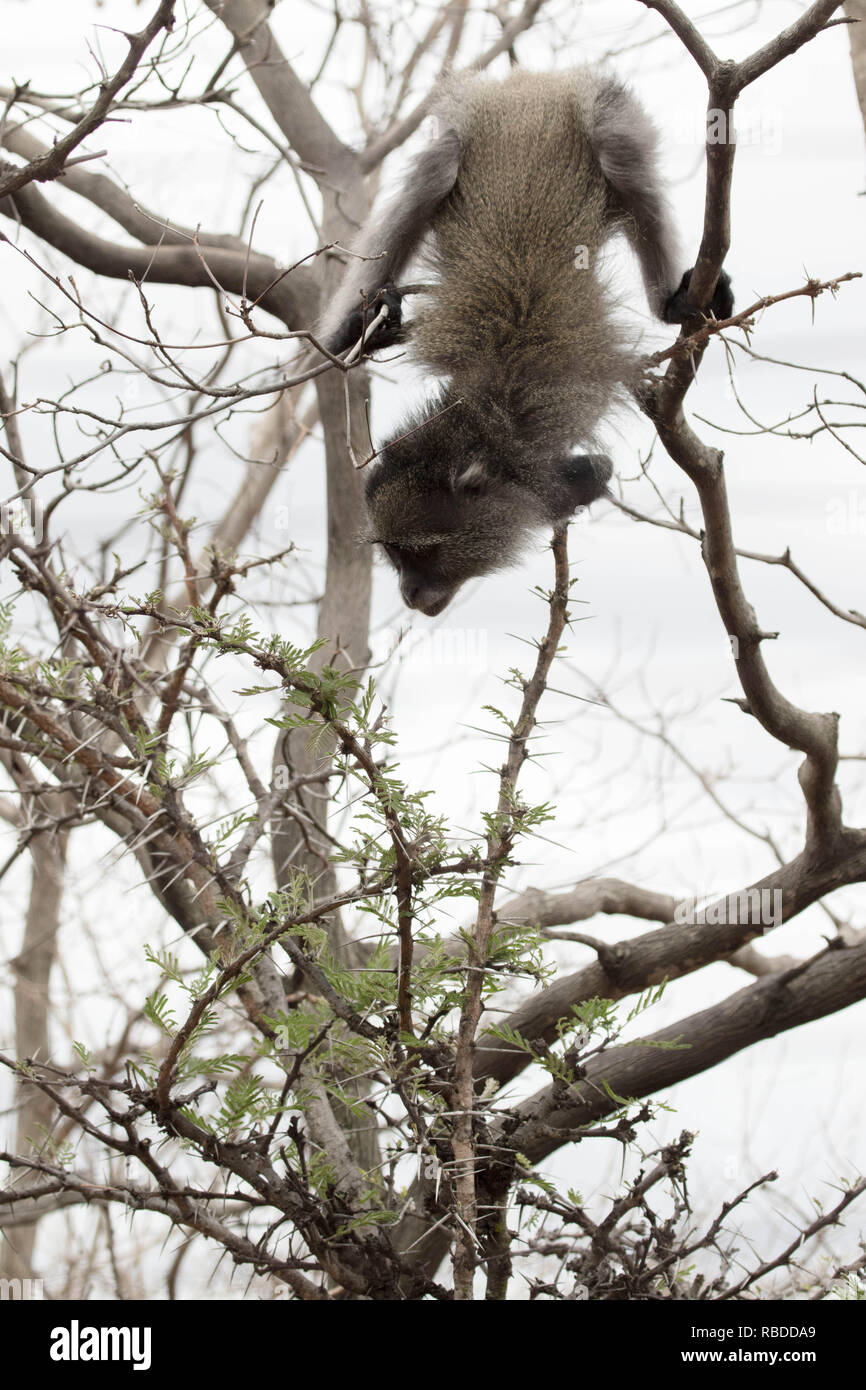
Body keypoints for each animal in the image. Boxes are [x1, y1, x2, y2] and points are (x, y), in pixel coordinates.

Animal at [318, 69, 733, 614]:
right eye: (394, 555)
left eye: (421, 553)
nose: (409, 593)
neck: (491, 412)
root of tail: (532, 87)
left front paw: (582, 481)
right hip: (462, 127)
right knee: (435, 173)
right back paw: (355, 330)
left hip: (600, 107)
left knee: (618, 151)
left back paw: (673, 301)